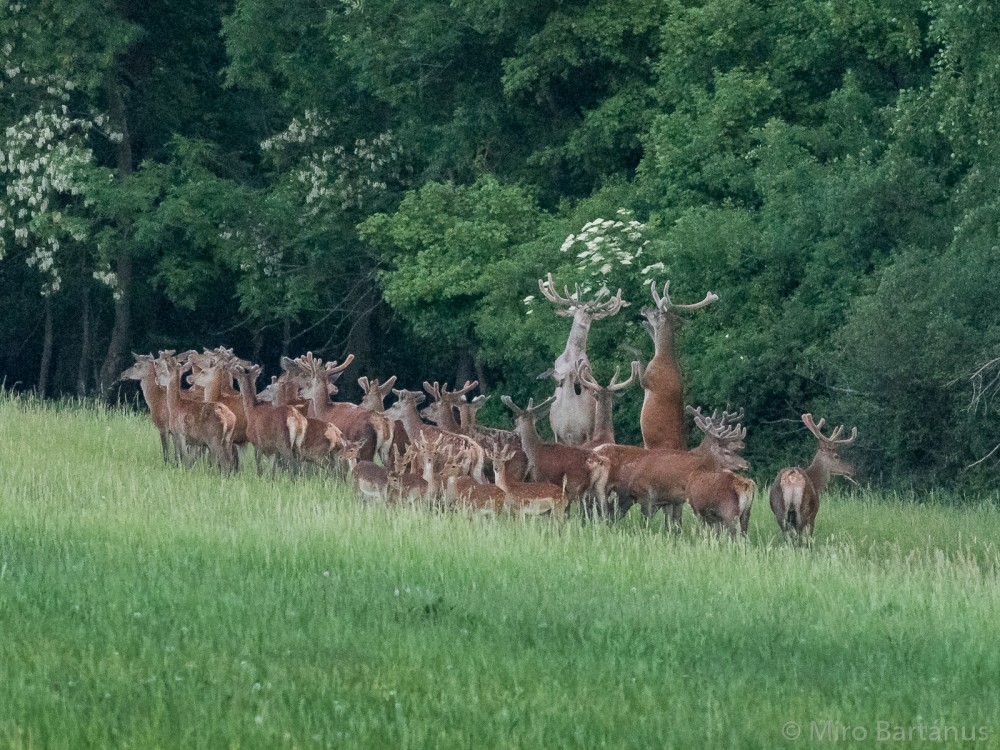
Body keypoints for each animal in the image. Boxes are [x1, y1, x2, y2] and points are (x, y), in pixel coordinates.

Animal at [540, 272, 624, 444]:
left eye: (592, 312)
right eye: (579, 308)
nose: (590, 307)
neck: (570, 357)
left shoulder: (585, 369)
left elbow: (581, 377)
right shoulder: (559, 367)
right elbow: (556, 375)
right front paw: (547, 375)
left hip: (585, 433)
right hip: (560, 437)